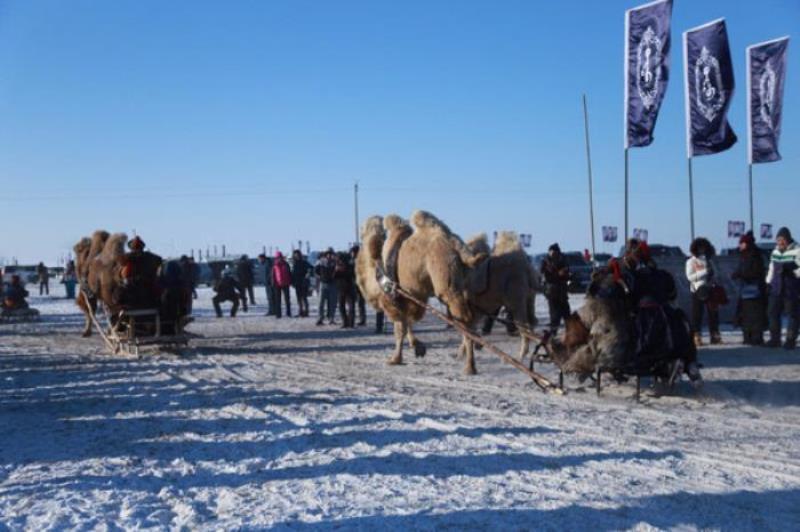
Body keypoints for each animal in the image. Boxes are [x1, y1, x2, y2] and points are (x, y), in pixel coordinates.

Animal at [358, 210, 484, 372]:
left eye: (362, 231)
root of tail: (455, 243)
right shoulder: (412, 297)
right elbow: (408, 323)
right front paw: (418, 347)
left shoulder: (392, 297)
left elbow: (400, 328)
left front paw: (395, 359)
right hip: (467, 284)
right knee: (472, 316)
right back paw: (471, 350)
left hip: (444, 278)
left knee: (463, 316)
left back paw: (469, 366)